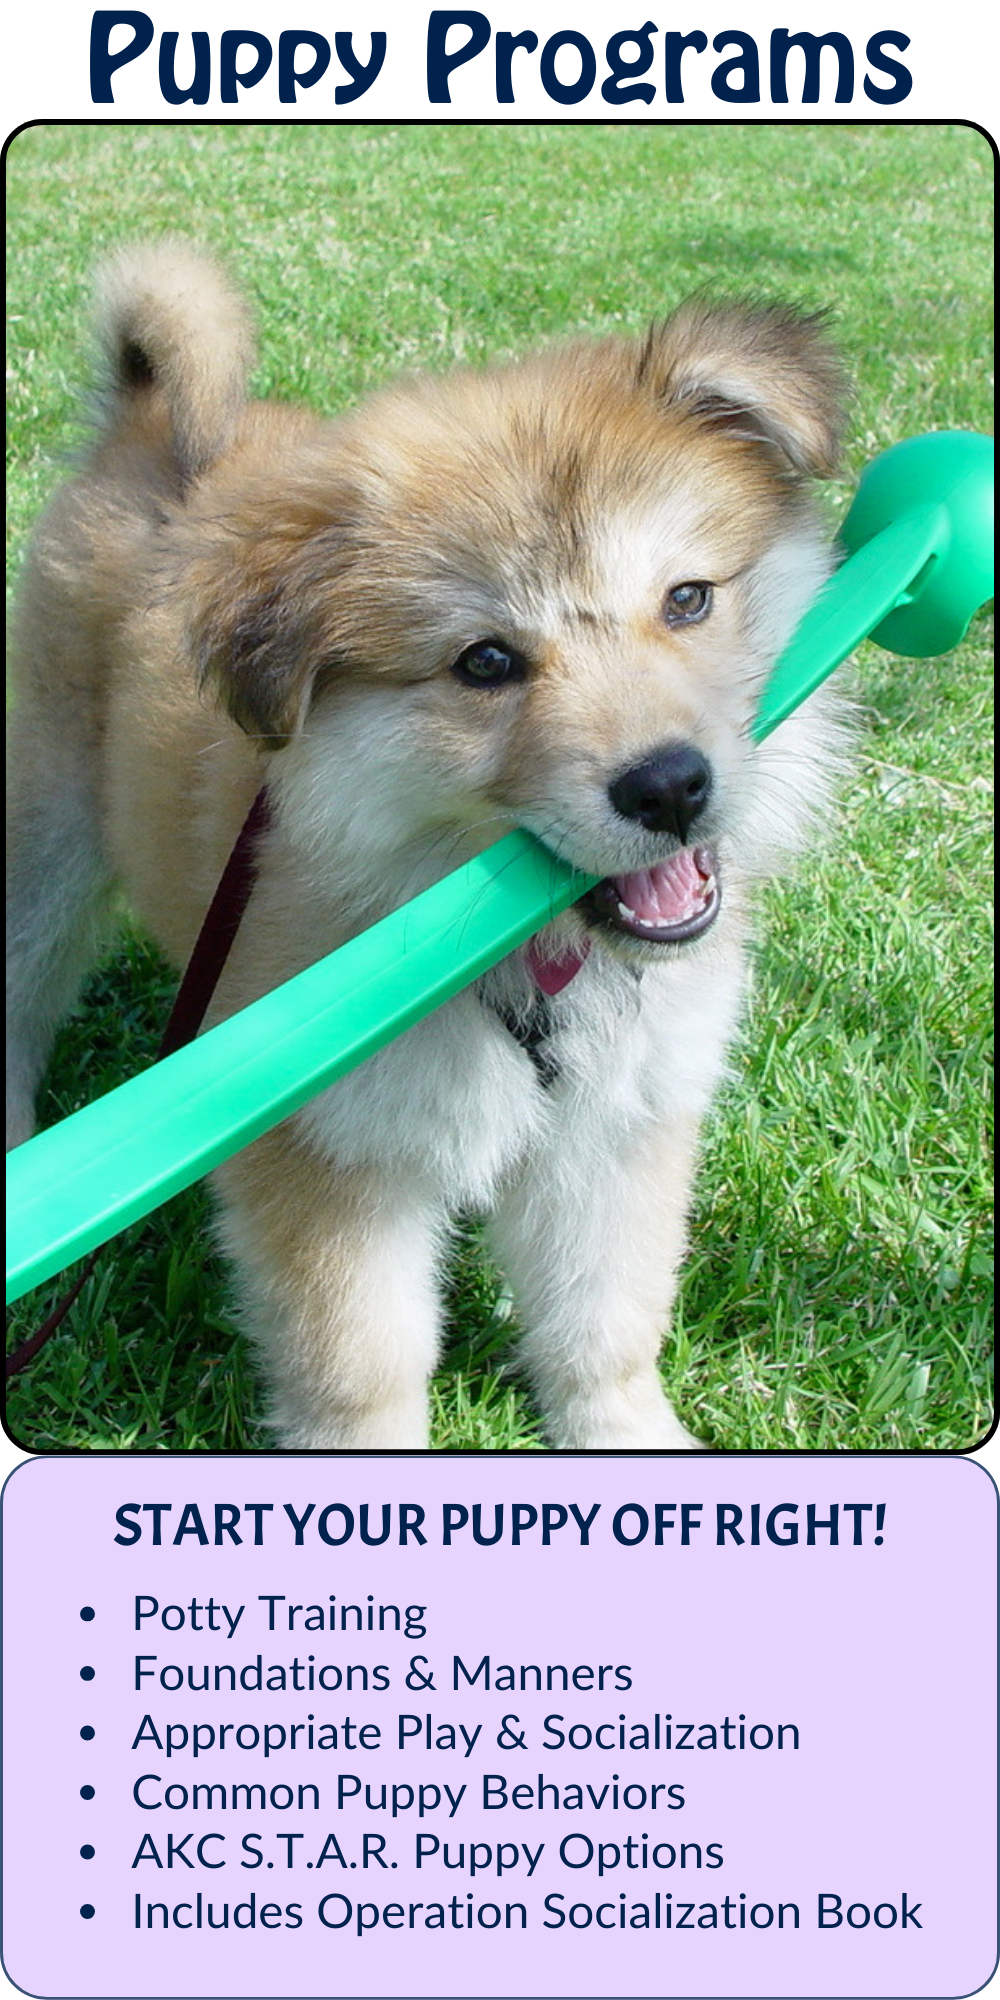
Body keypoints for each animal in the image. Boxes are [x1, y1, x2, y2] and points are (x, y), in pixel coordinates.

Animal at [5, 242, 852, 1448]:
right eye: (485, 663)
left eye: (688, 599)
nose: (671, 787)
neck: (537, 967)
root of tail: (149, 421)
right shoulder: (336, 1162)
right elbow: (362, 1369)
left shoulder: (618, 1127)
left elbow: (604, 1322)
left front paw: (629, 1436)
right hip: (49, 834)